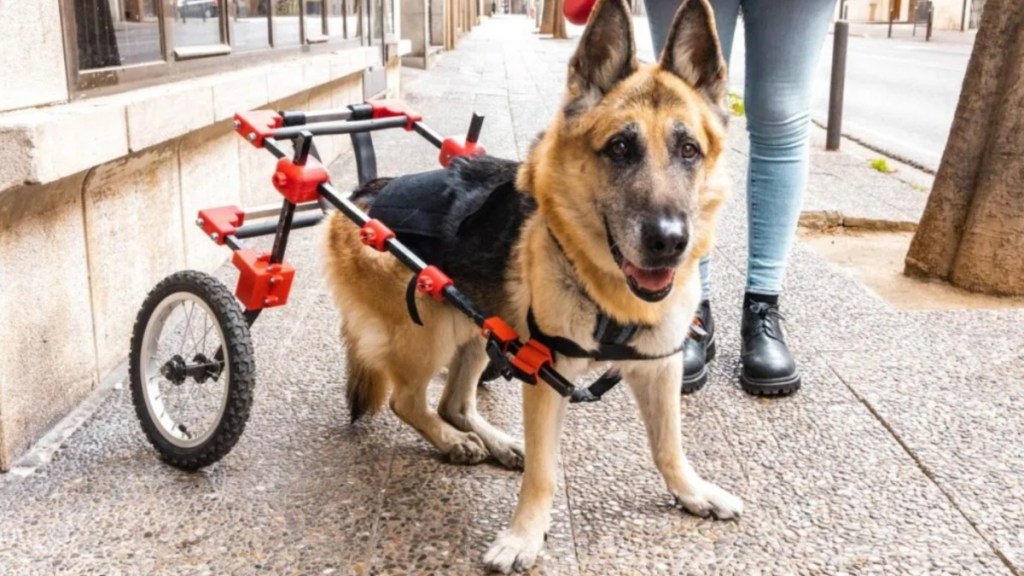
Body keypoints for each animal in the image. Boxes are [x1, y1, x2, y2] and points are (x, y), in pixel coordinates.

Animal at [323, 0, 741, 565]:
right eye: (620, 148)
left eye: (689, 150)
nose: (669, 241)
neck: (604, 288)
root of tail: (364, 194)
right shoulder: (546, 379)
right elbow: (545, 472)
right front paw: (525, 534)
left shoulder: (660, 367)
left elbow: (668, 445)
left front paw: (691, 492)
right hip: (430, 332)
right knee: (408, 402)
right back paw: (452, 442)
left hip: (482, 329)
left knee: (454, 403)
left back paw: (494, 442)